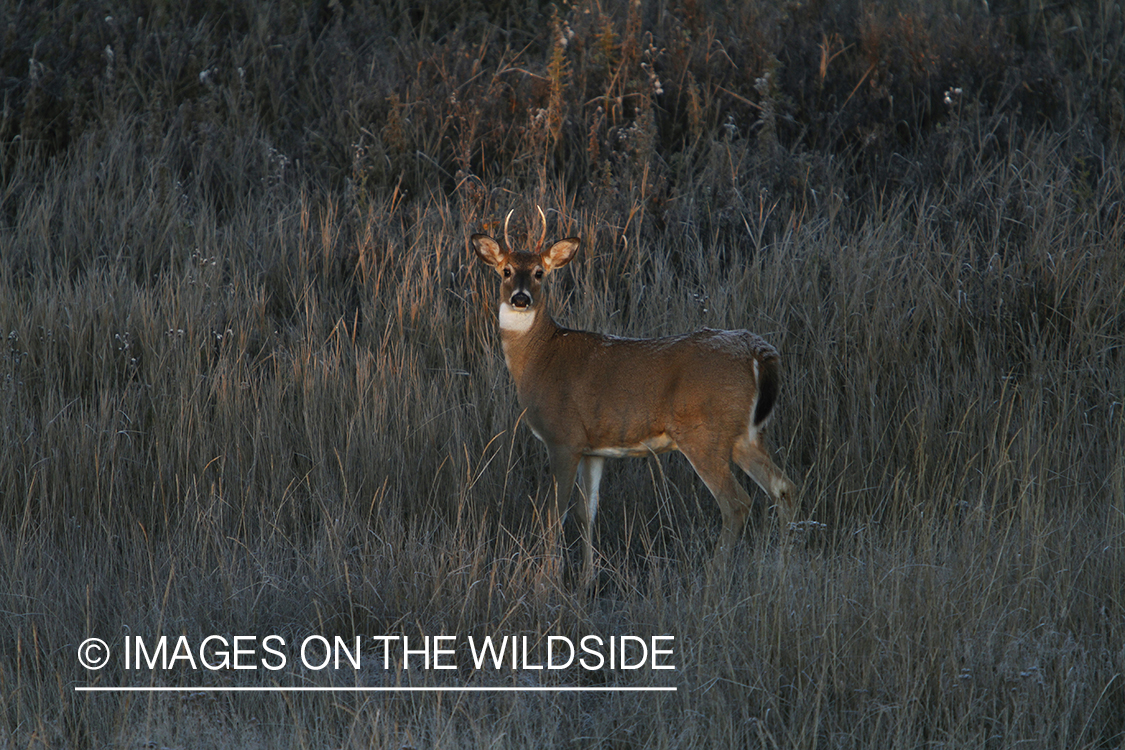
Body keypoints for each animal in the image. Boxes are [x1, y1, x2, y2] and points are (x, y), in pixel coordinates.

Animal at [470, 211, 796, 584]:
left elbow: (555, 511)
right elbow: (585, 511)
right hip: (746, 435)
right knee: (784, 488)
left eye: (540, 272)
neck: (540, 359)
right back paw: (782, 568)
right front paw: (587, 580)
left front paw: (547, 581)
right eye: (506, 270)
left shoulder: (563, 437)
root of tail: (759, 352)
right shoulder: (593, 448)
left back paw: (714, 578)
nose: (521, 299)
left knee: (737, 503)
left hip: (703, 433)